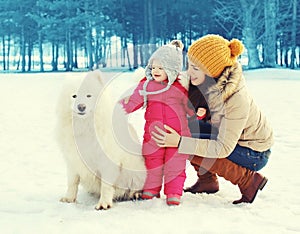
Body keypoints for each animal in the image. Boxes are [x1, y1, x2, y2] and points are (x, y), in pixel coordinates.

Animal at [56, 69, 146, 210]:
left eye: (89, 95)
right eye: (74, 96)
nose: (81, 107)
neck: (86, 126)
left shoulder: (107, 161)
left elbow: (106, 185)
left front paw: (104, 204)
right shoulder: (72, 159)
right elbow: (72, 182)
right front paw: (69, 199)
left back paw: (136, 194)